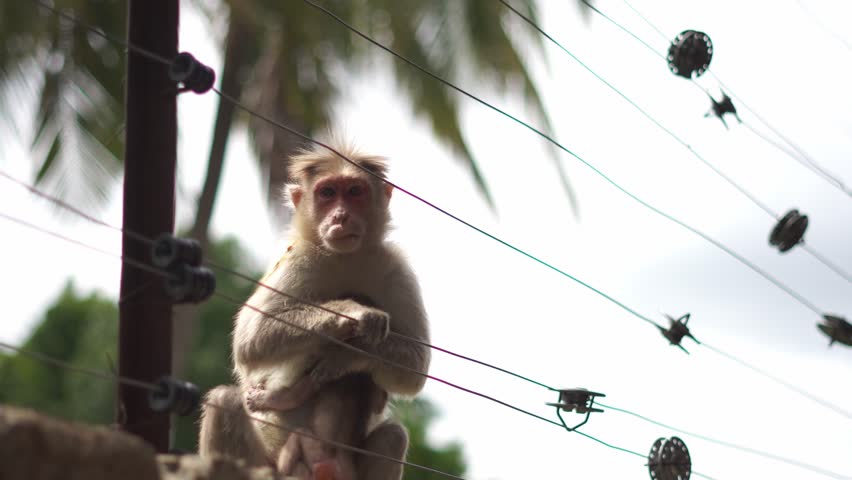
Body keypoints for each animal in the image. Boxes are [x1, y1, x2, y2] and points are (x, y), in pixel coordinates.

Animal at [199, 141, 431, 480]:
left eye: (355, 191)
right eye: (328, 193)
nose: (341, 216)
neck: (346, 257)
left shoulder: (396, 268)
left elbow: (415, 365)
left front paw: (348, 355)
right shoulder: (299, 259)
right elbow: (251, 340)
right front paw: (353, 314)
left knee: (394, 435)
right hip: (267, 466)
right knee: (225, 400)